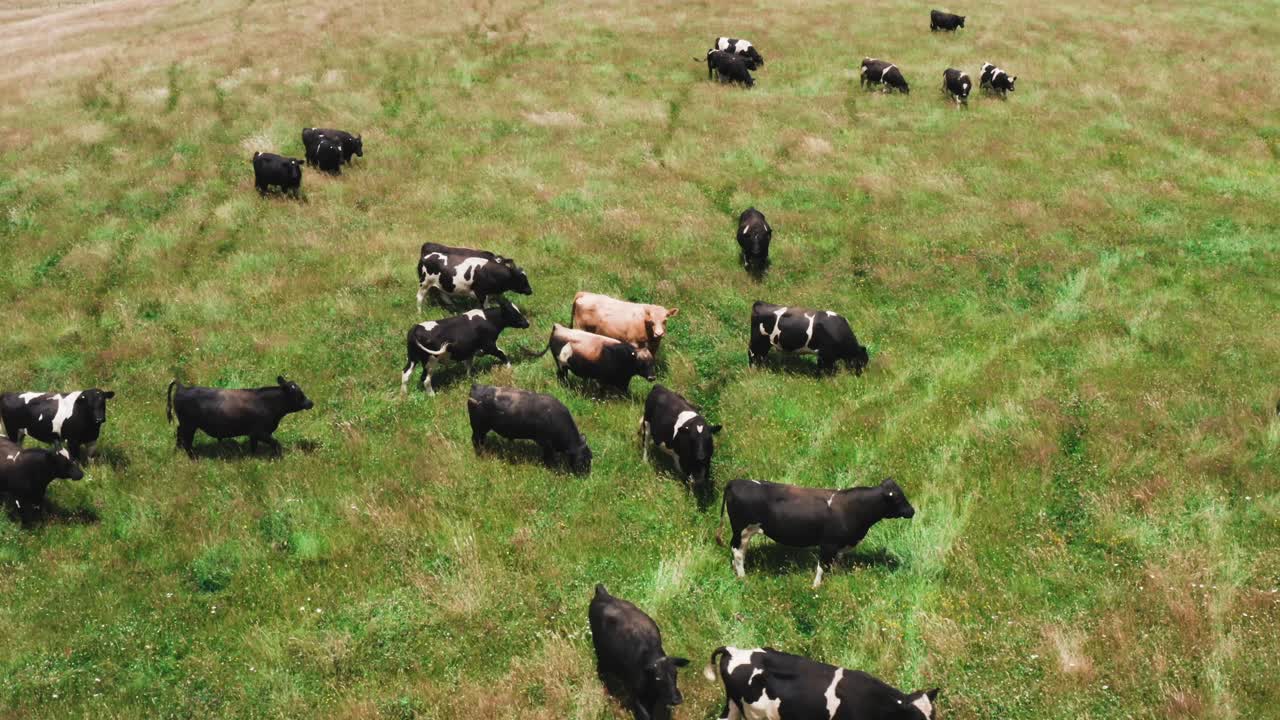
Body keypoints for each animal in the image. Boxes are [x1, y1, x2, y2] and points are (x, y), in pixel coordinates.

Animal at [166, 376, 314, 458]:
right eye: (298, 394)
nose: (310, 402)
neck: (267, 403)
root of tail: (183, 387)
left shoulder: (253, 434)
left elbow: (254, 447)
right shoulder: (261, 432)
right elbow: (276, 443)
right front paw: (277, 457)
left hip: (185, 425)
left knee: (179, 437)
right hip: (189, 425)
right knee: (186, 442)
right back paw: (193, 458)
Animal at [401, 297, 529, 395]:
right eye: (513, 312)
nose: (527, 323)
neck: (488, 320)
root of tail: (416, 328)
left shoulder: (469, 350)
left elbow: (468, 364)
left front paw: (469, 378)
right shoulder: (489, 345)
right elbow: (502, 354)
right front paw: (509, 368)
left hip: (413, 358)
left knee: (405, 374)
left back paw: (403, 395)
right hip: (431, 360)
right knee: (426, 379)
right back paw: (432, 395)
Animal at [528, 324, 656, 391]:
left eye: (652, 363)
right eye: (642, 363)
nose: (652, 377)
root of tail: (558, 327)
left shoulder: (623, 380)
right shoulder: (602, 379)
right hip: (561, 364)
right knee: (562, 376)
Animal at [590, 584, 690, 720]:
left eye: (676, 673)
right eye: (658, 678)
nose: (676, 699)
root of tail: (602, 593)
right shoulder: (636, 695)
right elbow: (644, 715)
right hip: (600, 651)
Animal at [717, 477, 916, 588]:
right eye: (898, 498)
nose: (912, 511)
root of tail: (736, 481)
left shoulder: (839, 545)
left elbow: (835, 564)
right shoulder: (828, 543)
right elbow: (822, 566)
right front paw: (816, 587)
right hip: (742, 530)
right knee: (738, 553)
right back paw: (743, 578)